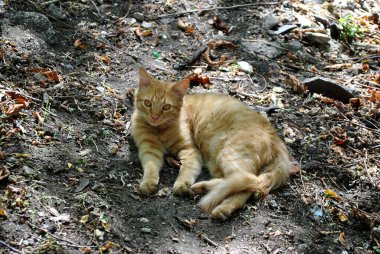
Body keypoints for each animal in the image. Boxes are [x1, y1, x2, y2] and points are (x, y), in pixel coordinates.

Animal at [131, 67, 290, 220]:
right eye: (148, 103)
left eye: (166, 107)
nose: (154, 117)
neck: (159, 129)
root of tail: (275, 136)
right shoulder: (149, 149)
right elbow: (151, 166)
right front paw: (148, 182)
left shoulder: (190, 149)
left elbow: (187, 169)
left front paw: (182, 183)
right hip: (217, 160)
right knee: (241, 182)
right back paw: (202, 188)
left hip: (227, 153)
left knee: (248, 182)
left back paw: (221, 207)